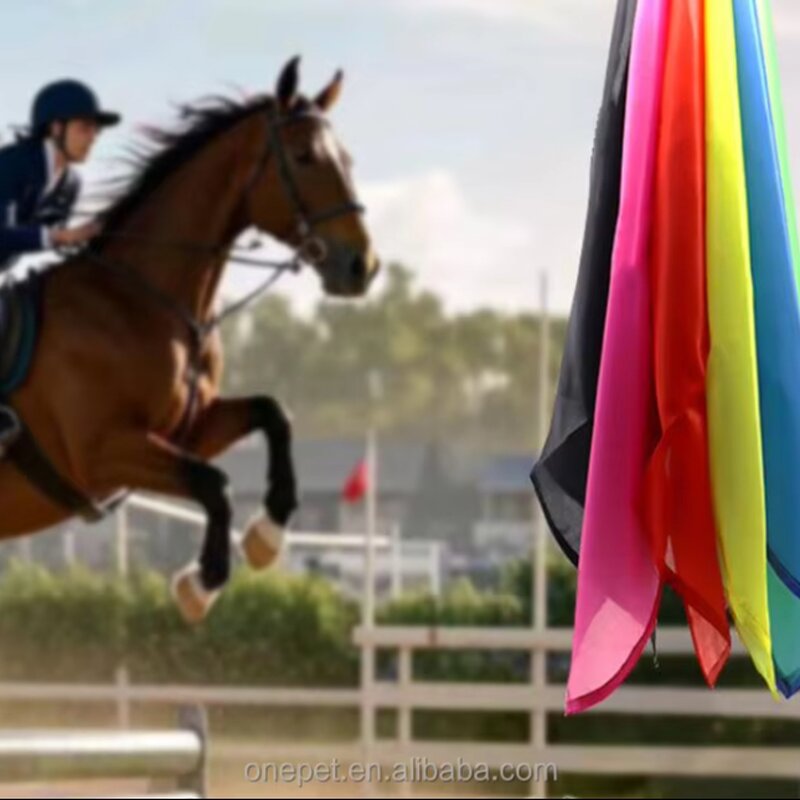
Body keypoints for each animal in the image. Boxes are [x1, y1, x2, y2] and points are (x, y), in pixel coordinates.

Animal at [0, 57, 380, 622]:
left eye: (348, 159)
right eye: (305, 157)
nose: (363, 266)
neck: (146, 302)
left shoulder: (187, 430)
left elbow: (273, 414)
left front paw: (266, 536)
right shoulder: (99, 452)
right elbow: (214, 483)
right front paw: (202, 583)